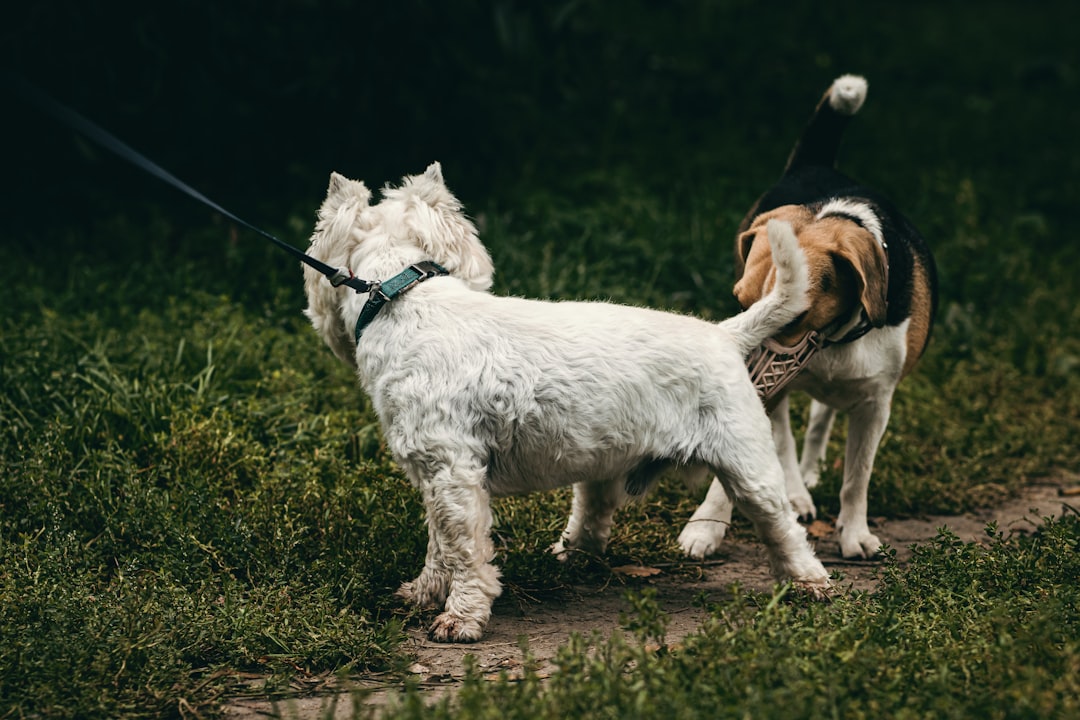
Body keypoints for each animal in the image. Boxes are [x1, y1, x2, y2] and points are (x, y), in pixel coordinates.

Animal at [306, 161, 833, 643]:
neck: (396, 301)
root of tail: (726, 333)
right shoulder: (433, 472)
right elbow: (440, 544)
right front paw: (422, 592)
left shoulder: (455, 472)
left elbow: (464, 549)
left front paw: (461, 617)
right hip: (607, 456)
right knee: (595, 512)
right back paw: (572, 555)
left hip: (746, 464)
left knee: (783, 525)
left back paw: (810, 585)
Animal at [682, 74, 937, 557]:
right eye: (741, 305)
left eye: (790, 319)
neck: (835, 339)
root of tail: (816, 163)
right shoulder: (770, 389)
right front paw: (704, 529)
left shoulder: (876, 402)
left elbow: (856, 478)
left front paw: (855, 534)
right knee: (786, 437)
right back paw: (796, 492)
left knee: (820, 420)